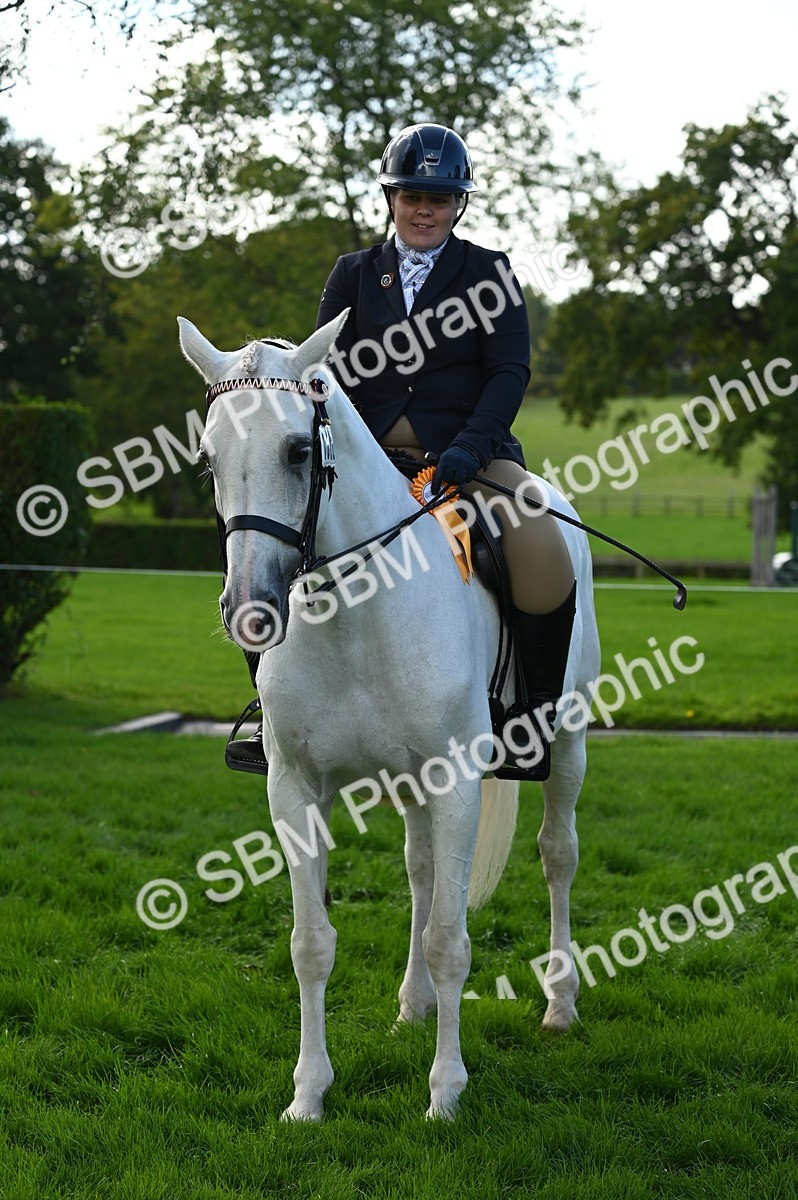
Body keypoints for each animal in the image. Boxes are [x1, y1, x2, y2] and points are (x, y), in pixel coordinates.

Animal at [178, 311, 601, 1121]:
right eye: (210, 461)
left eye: (296, 449)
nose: (249, 608)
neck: (357, 611)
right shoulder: (295, 788)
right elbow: (311, 942)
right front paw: (308, 1094)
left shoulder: (457, 785)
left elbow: (451, 942)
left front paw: (445, 1093)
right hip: (409, 785)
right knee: (421, 871)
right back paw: (414, 1005)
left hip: (567, 743)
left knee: (557, 854)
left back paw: (561, 1006)